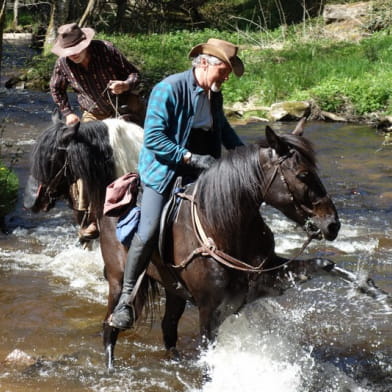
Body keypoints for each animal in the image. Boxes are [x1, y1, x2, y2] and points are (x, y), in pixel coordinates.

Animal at [25, 118, 344, 370]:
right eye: (303, 174)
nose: (332, 224)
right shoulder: (209, 312)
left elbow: (316, 264)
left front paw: (352, 279)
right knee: (109, 328)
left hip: (174, 290)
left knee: (168, 329)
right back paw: (111, 367)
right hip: (117, 282)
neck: (224, 228)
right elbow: (209, 357)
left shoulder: (264, 280)